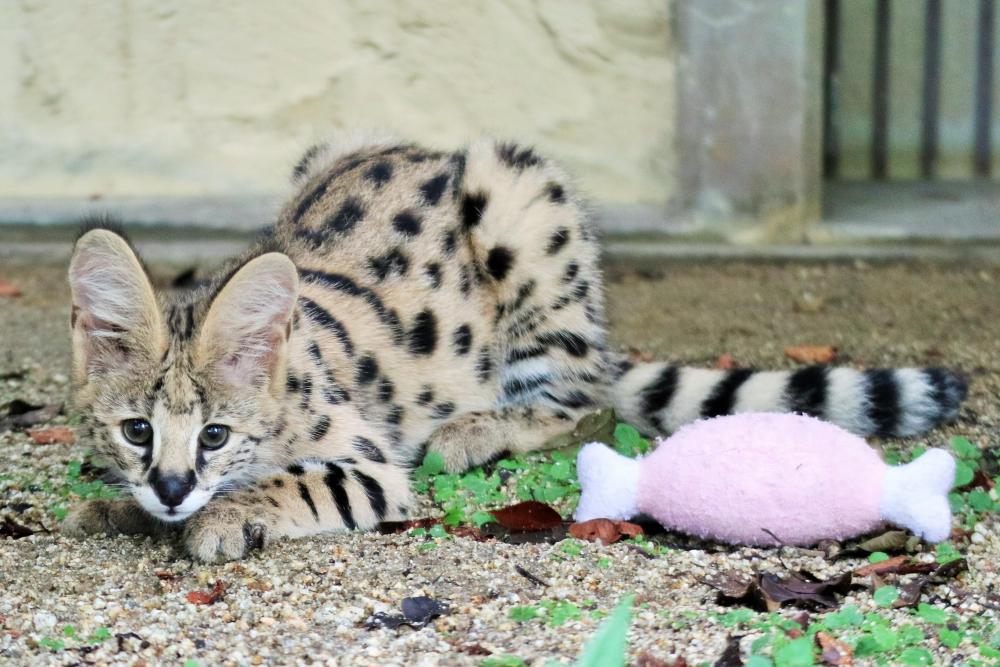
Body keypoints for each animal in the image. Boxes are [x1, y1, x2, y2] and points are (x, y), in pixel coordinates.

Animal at [64, 136, 968, 564]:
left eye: (215, 433)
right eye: (137, 429)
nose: (173, 487)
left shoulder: (369, 463)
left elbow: (289, 481)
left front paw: (223, 514)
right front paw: (126, 504)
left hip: (524, 204)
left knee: (582, 396)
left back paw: (477, 427)